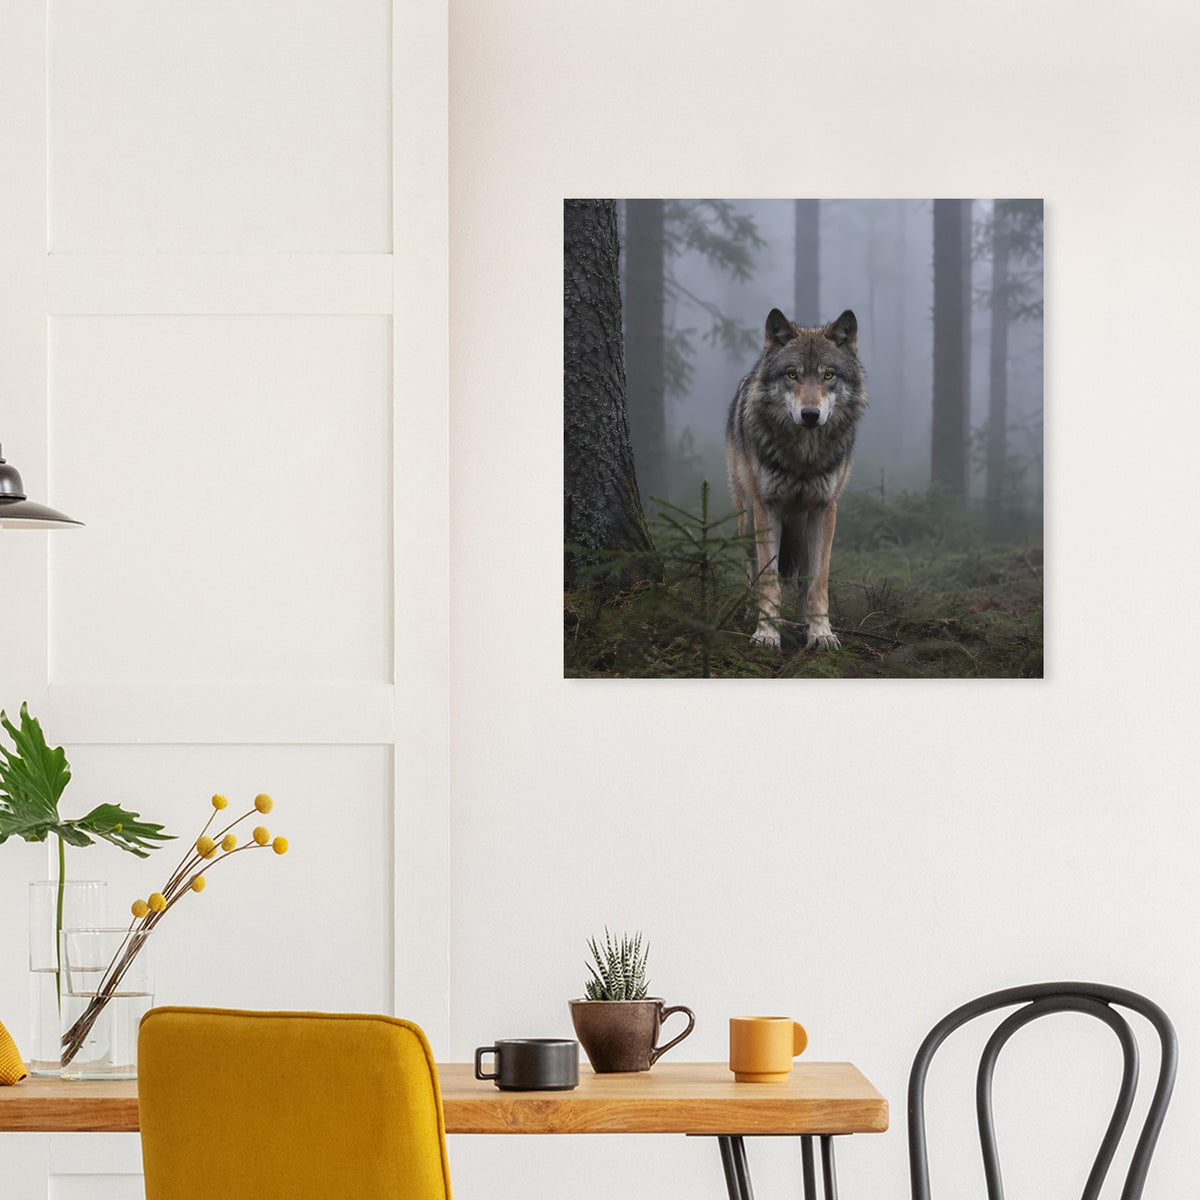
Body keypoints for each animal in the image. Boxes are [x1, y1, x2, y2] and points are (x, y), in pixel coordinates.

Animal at [725, 307, 867, 651]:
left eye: (829, 375)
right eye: (792, 374)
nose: (810, 415)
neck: (804, 457)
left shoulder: (824, 509)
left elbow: (818, 582)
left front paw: (821, 632)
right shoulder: (767, 507)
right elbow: (769, 581)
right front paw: (766, 633)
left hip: (802, 529)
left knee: (804, 577)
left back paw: (805, 622)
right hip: (747, 519)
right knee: (751, 569)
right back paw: (748, 611)